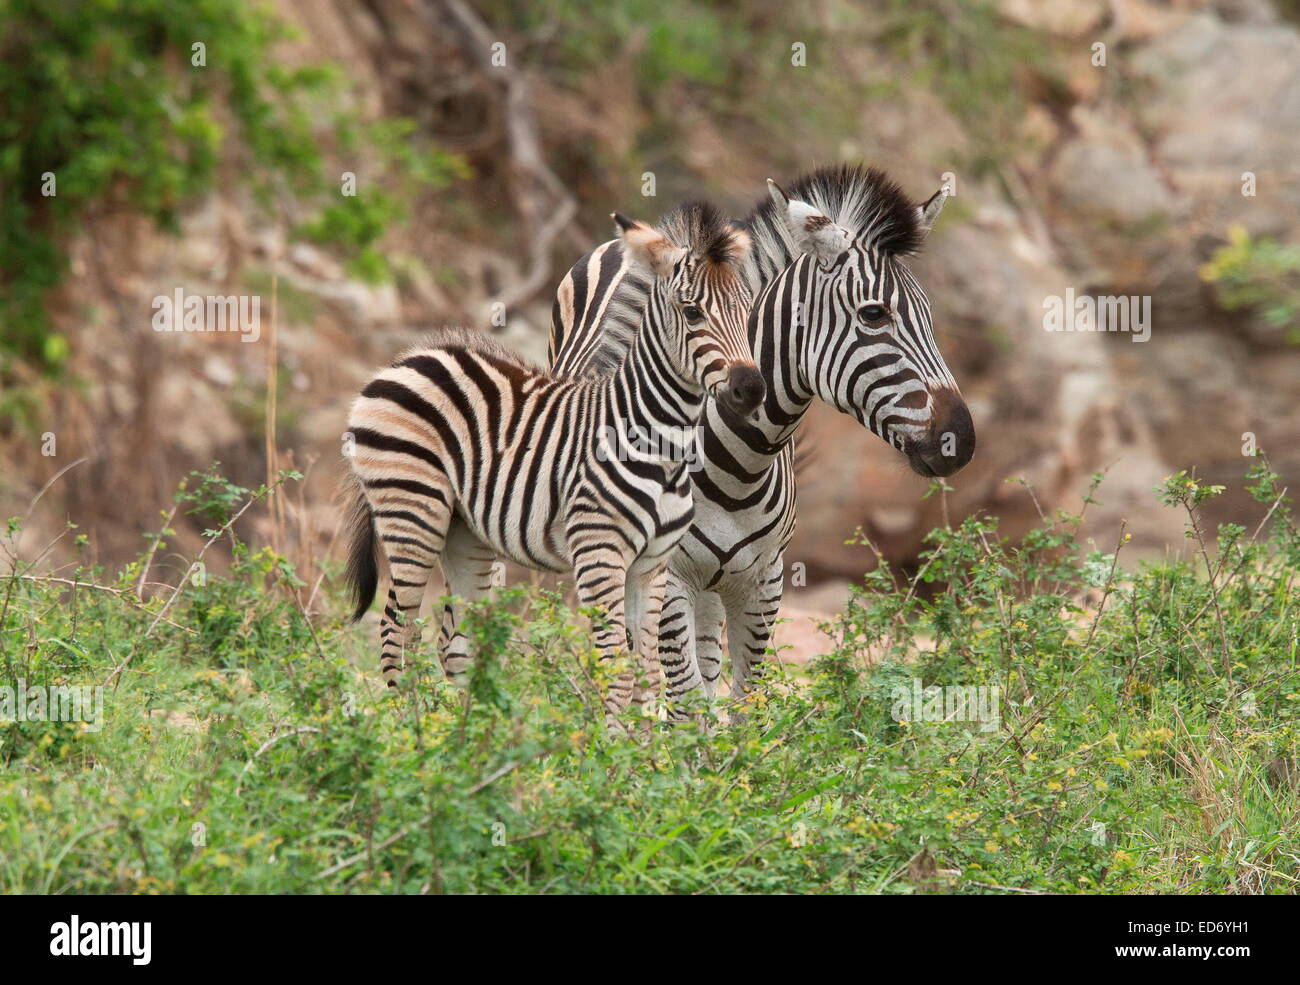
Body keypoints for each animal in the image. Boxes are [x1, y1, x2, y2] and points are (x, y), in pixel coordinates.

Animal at [548, 165, 977, 722]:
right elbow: (685, 705)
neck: (739, 464)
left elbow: (743, 702)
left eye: (927, 314)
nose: (961, 440)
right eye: (874, 315)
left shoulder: (763, 581)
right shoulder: (672, 576)